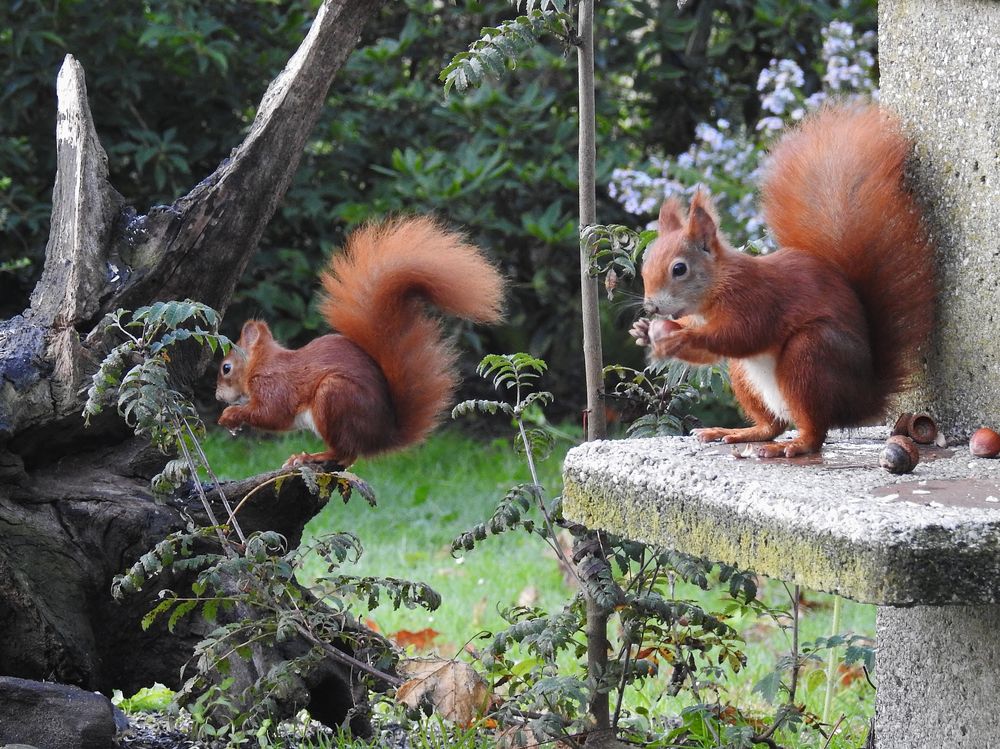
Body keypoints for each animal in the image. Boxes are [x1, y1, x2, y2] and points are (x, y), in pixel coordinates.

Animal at [215, 213, 504, 464]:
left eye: (226, 367)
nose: (217, 396)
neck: (262, 362)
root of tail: (382, 438)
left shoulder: (274, 385)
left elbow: (271, 414)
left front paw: (230, 415)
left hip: (334, 397)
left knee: (345, 453)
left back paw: (311, 456)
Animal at [632, 103, 936, 456]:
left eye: (679, 269)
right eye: (646, 265)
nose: (651, 307)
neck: (718, 286)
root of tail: (864, 398)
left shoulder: (757, 298)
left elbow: (742, 335)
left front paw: (680, 337)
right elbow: (711, 353)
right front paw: (643, 331)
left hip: (810, 355)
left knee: (815, 431)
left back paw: (795, 445)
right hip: (744, 374)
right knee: (773, 425)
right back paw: (738, 432)